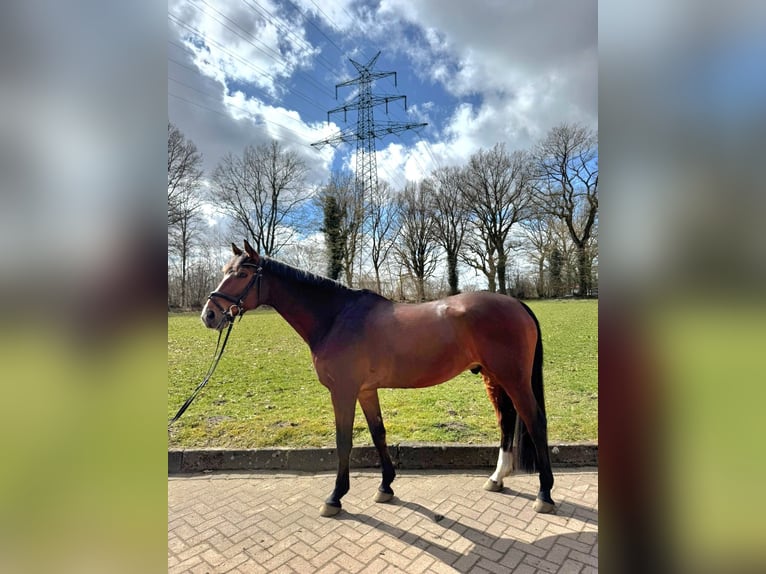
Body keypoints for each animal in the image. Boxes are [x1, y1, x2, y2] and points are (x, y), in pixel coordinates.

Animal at [201, 240, 555, 517]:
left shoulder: (343, 391)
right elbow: (378, 433)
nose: (209, 315)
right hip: (494, 377)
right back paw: (497, 478)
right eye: (225, 270)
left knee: (535, 421)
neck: (336, 318)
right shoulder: (366, 391)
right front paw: (386, 486)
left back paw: (544, 494)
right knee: (507, 420)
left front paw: (335, 497)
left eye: (242, 274)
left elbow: (344, 441)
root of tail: (517, 304)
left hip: (514, 378)